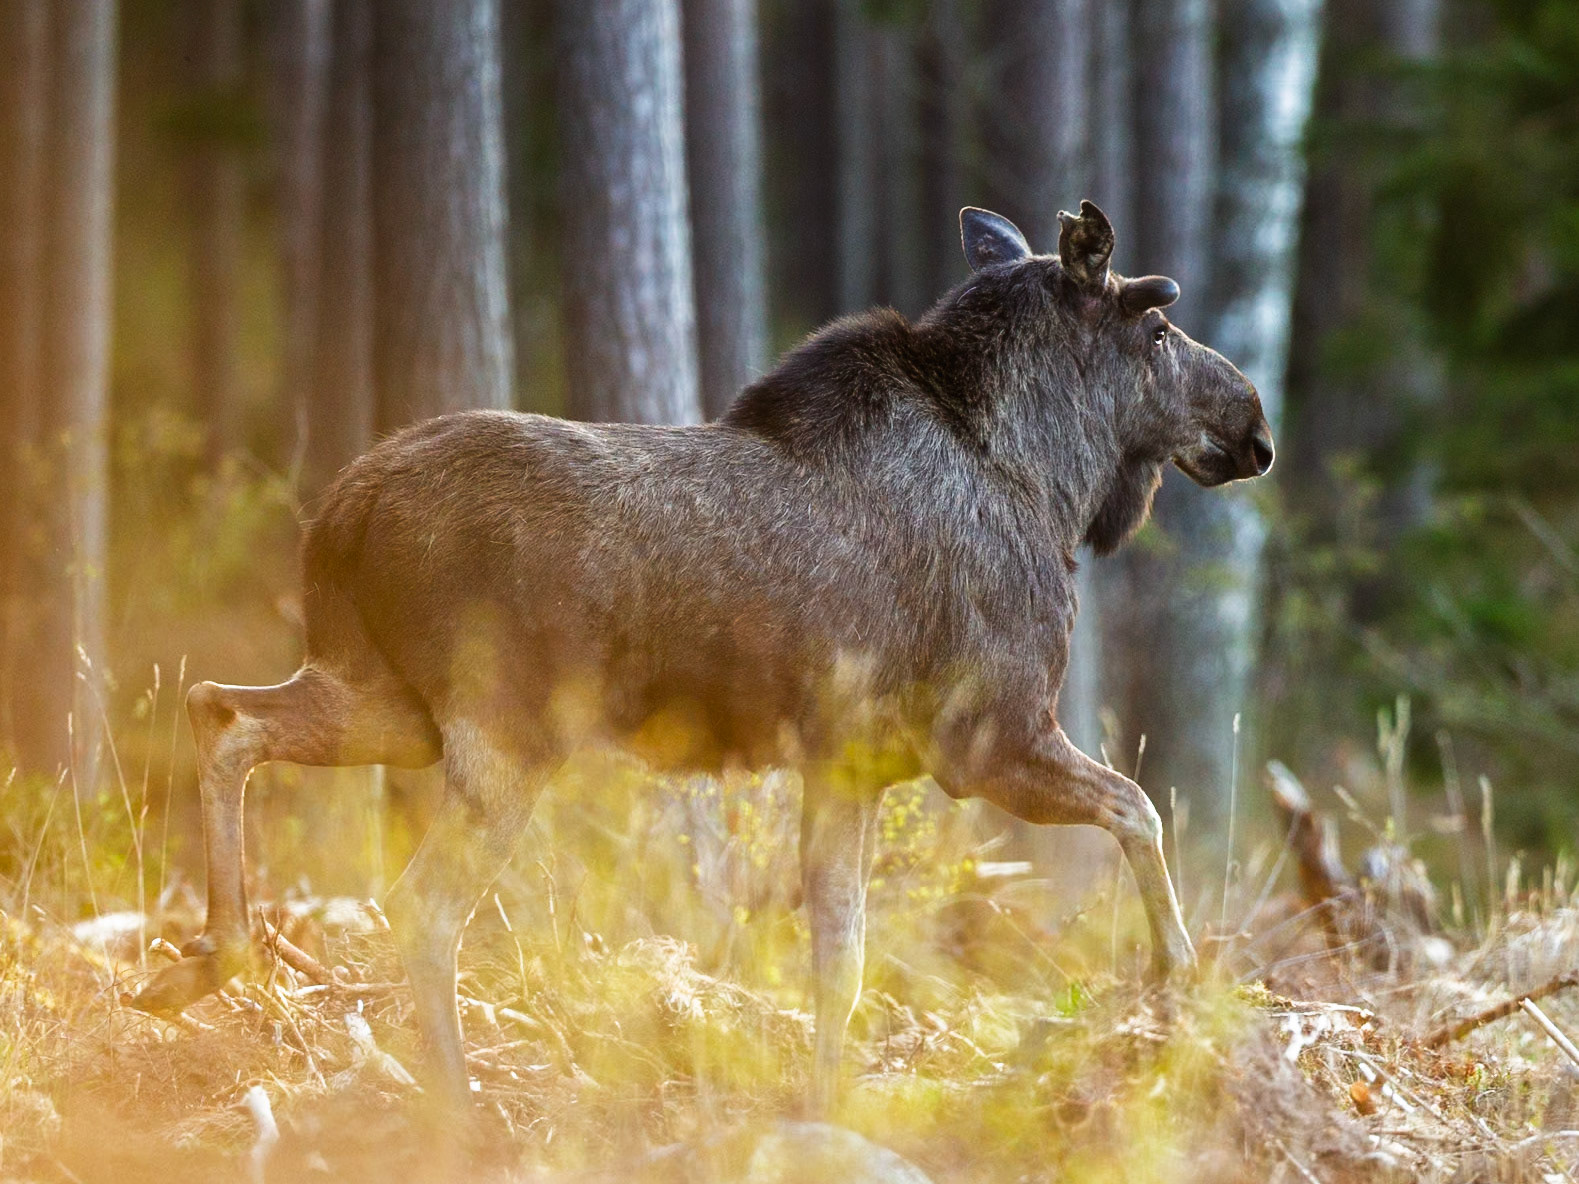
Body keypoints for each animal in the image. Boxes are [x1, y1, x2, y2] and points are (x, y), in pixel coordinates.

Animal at [133, 201, 1274, 1115]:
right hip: (503, 730)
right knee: (420, 901)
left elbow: (839, 961)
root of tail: (340, 514)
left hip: (387, 701)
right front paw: (1178, 980)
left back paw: (205, 958)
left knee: (222, 708)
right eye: (1157, 327)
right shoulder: (987, 736)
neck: (1046, 482)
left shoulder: (850, 766)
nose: (1255, 422)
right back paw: (454, 1104)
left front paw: (824, 1106)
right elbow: (1140, 806)